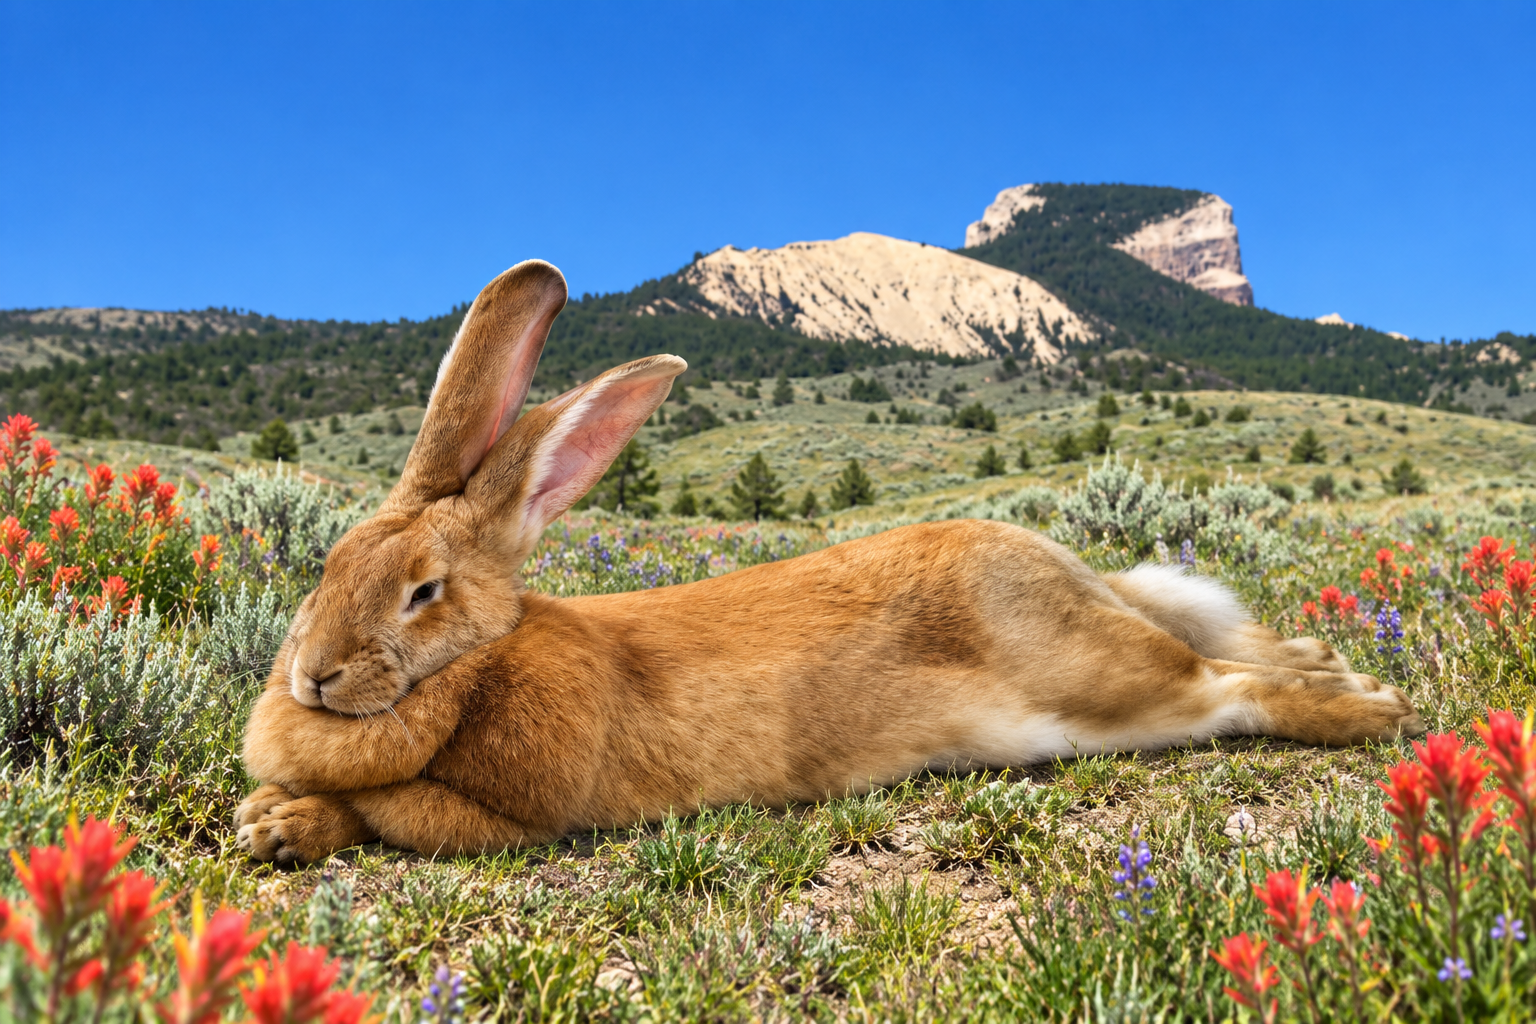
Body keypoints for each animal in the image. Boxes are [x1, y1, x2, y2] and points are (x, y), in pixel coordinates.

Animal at [234, 259, 1425, 865]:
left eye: (423, 593)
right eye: (326, 565)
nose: (314, 678)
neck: (480, 663)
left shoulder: (513, 809)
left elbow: (394, 815)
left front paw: (284, 824)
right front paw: (270, 820)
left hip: (1107, 682)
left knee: (1229, 686)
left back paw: (1368, 705)